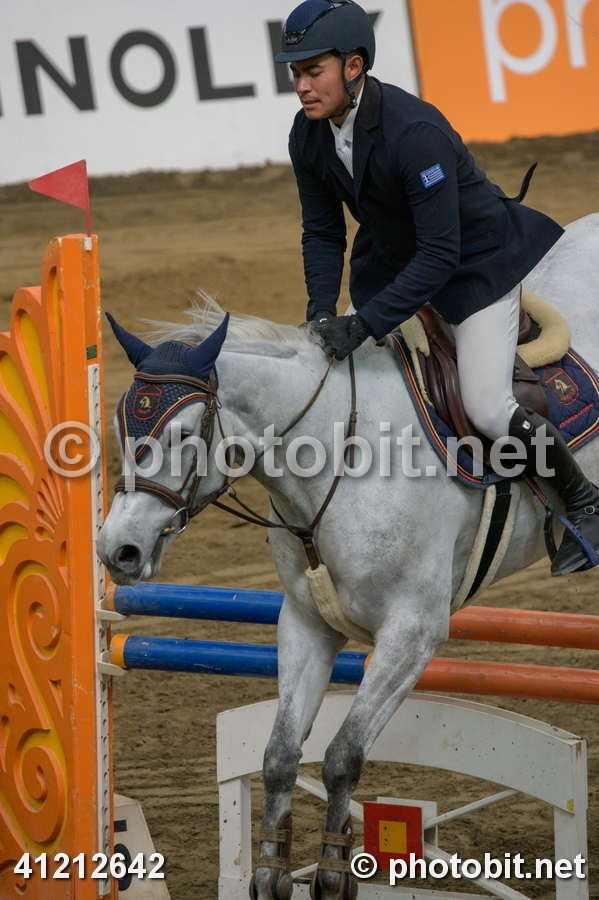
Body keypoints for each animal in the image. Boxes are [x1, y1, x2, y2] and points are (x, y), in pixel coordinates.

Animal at [98, 213, 599, 899]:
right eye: (123, 427)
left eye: (179, 433)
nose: (116, 550)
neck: (341, 453)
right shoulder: (306, 623)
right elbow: (281, 757)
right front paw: (270, 876)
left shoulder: (411, 633)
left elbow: (341, 757)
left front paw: (336, 873)